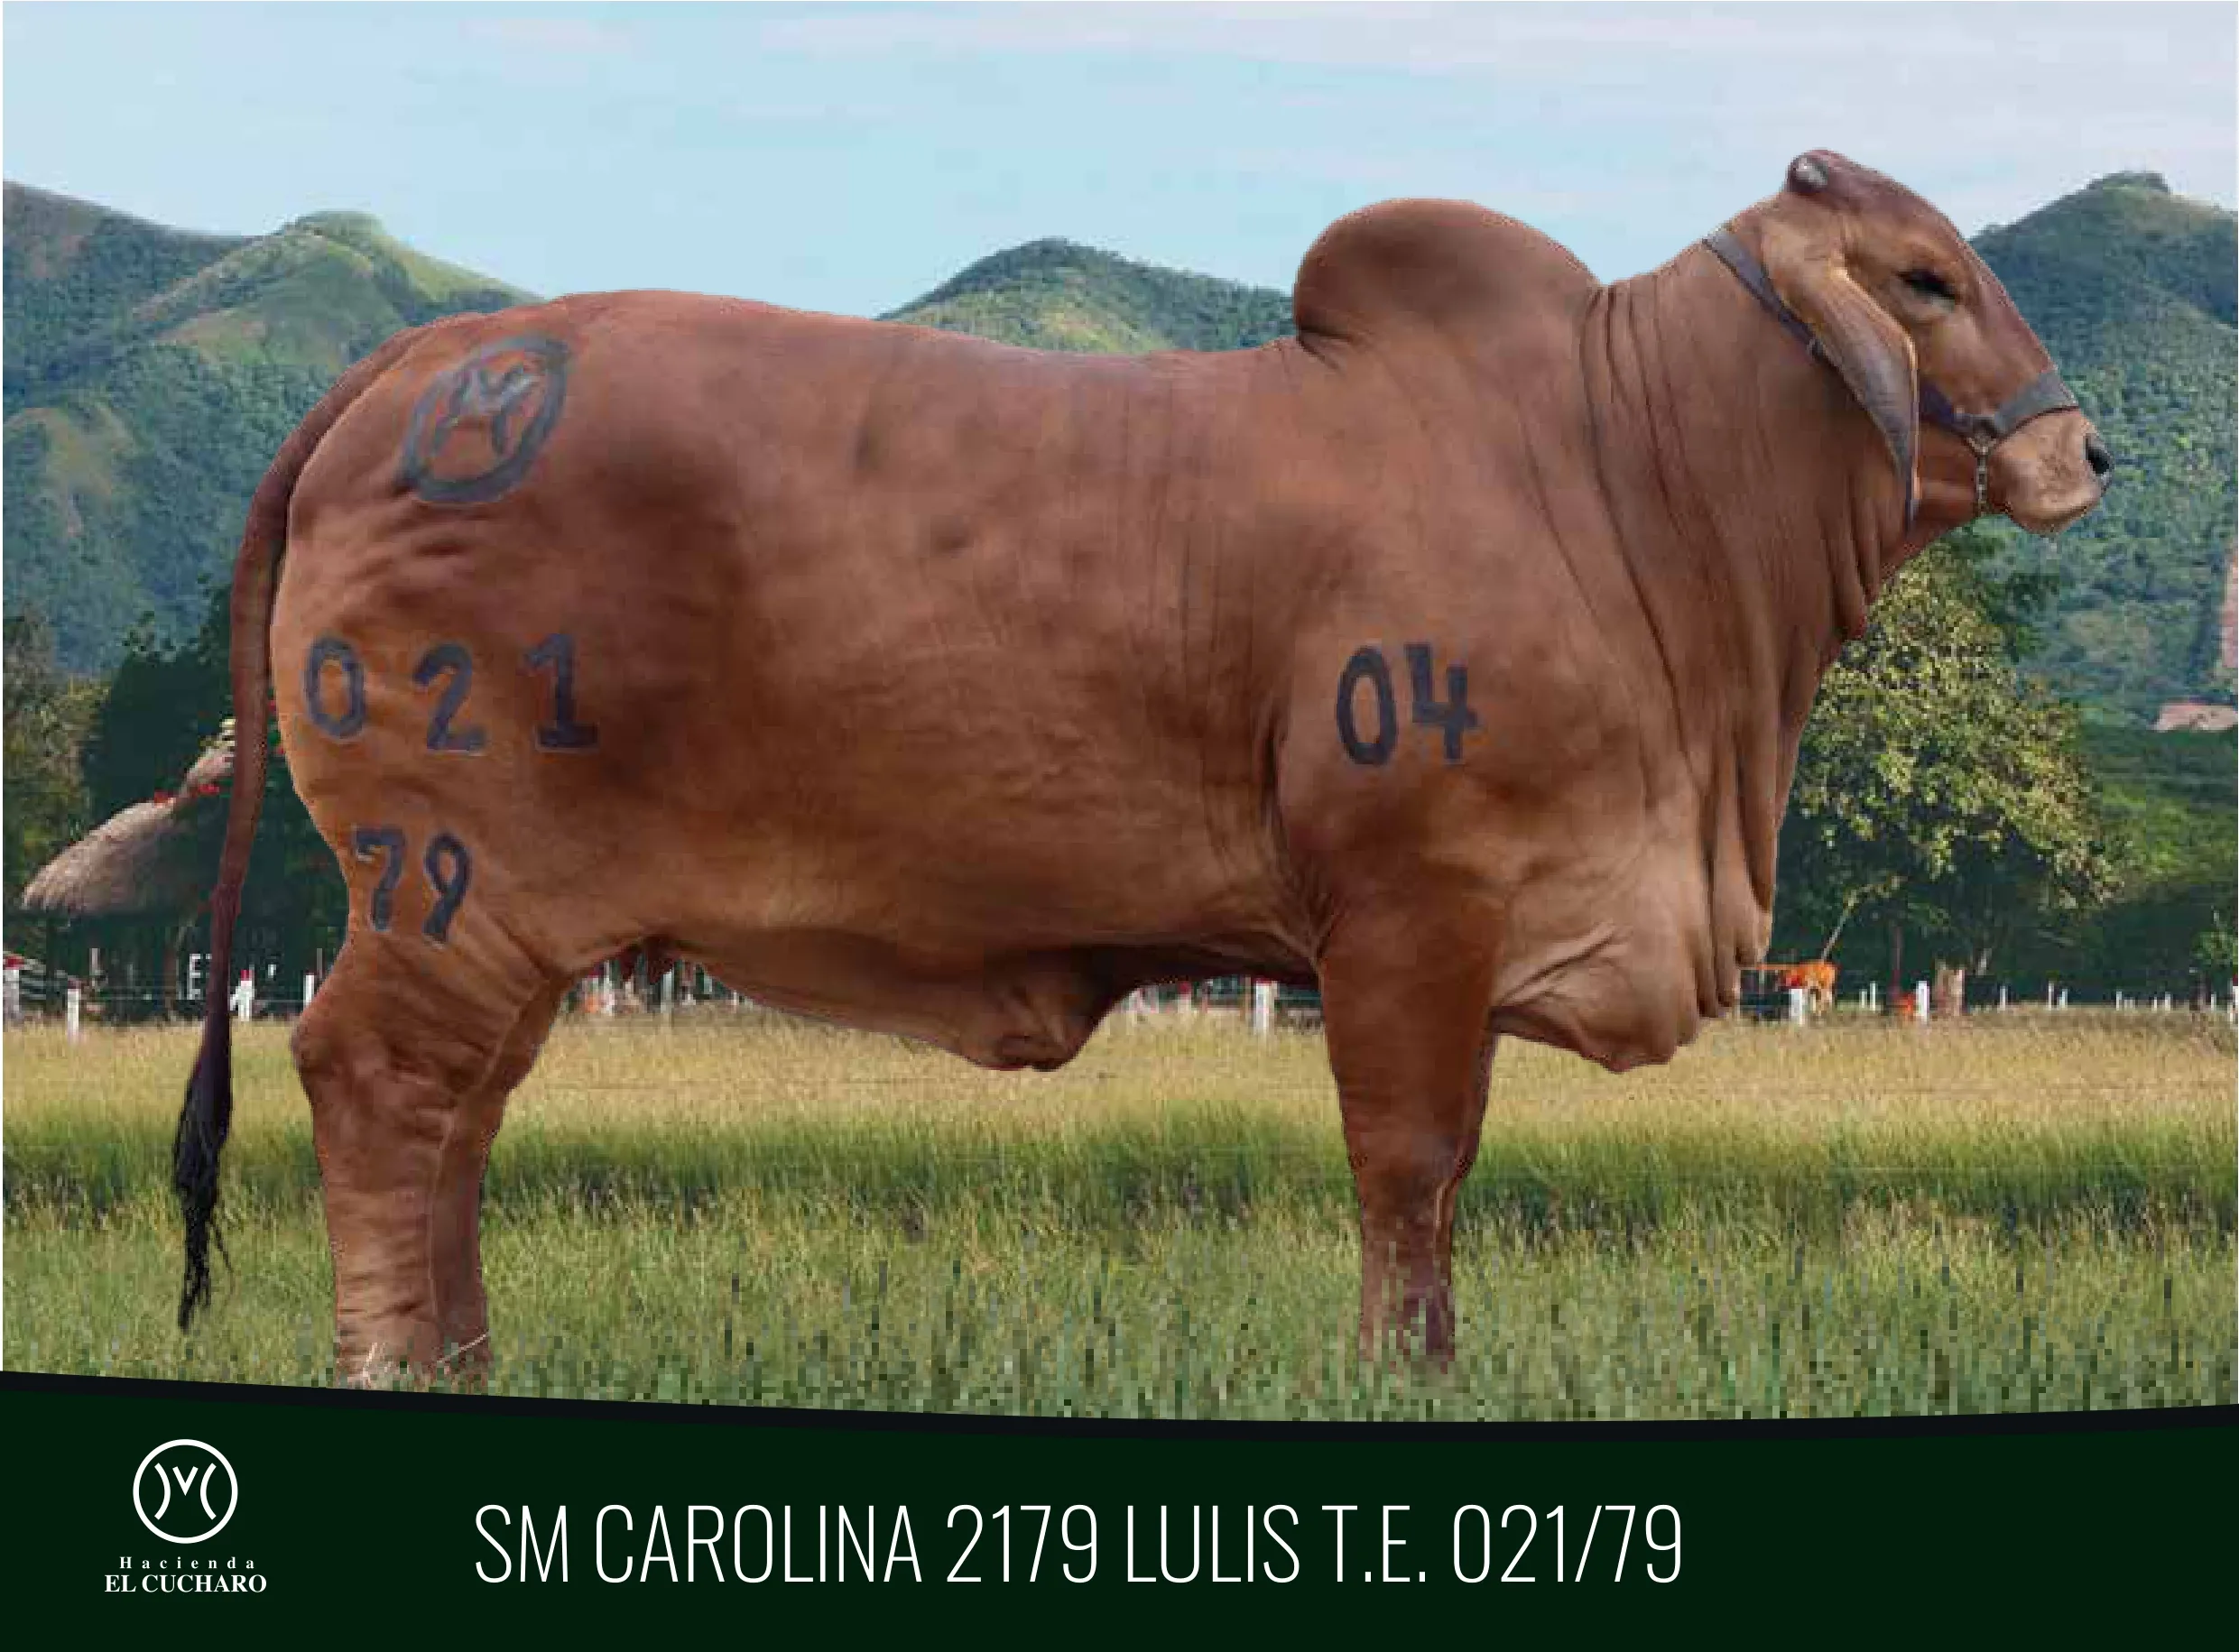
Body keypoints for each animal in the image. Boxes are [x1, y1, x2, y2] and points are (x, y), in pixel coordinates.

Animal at [173, 151, 2108, 1383]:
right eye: (1925, 279)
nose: (2085, 448)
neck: (1628, 473)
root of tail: (429, 356)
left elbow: (1443, 1176)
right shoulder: (1411, 911)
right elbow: (1411, 1164)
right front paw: (1397, 1376)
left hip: (512, 928)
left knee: (463, 1116)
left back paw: (469, 1356)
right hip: (440, 887)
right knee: (372, 1084)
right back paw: (391, 1364)